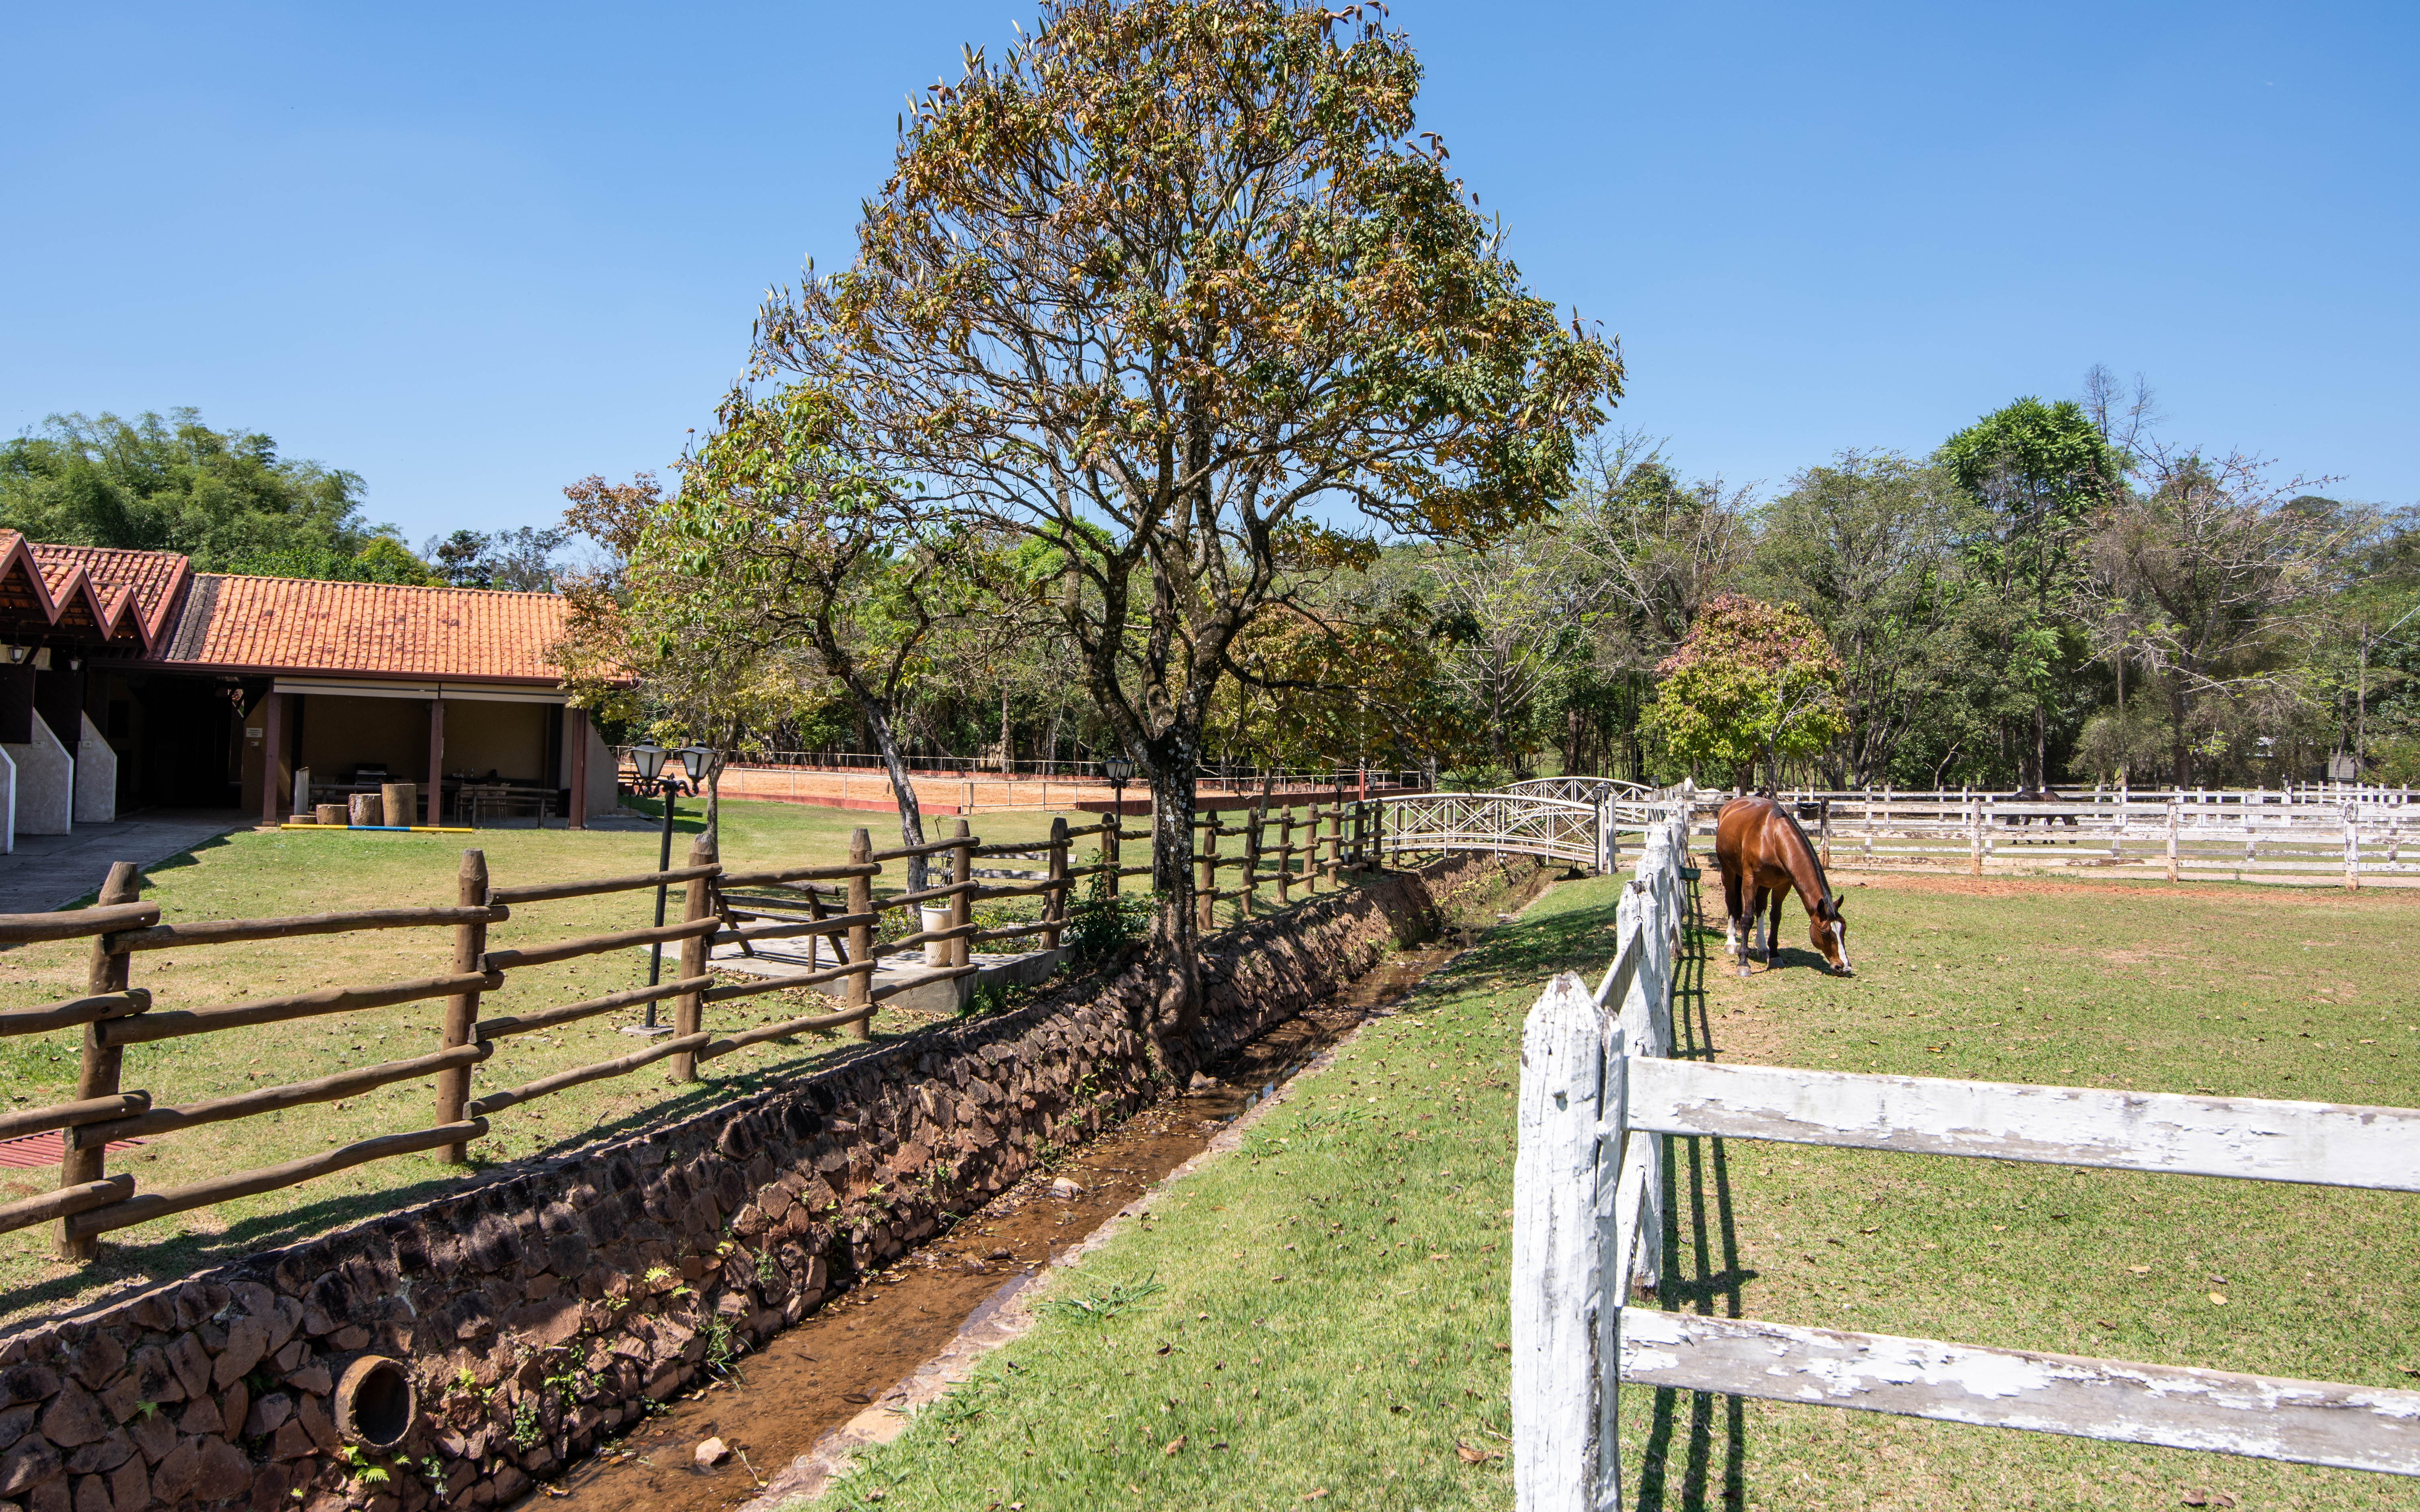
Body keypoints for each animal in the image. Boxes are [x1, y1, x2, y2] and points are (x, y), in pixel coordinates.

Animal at [1704, 798, 1849, 972]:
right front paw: (1743, 963)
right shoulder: (1750, 880)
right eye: (1825, 933)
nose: (1843, 966)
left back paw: (1762, 947)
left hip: (1765, 884)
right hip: (1729, 872)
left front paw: (1774, 956)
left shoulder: (1783, 885)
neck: (1772, 837)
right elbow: (1747, 918)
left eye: (1844, 929)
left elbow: (1775, 918)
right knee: (1732, 902)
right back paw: (1731, 943)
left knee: (1760, 908)